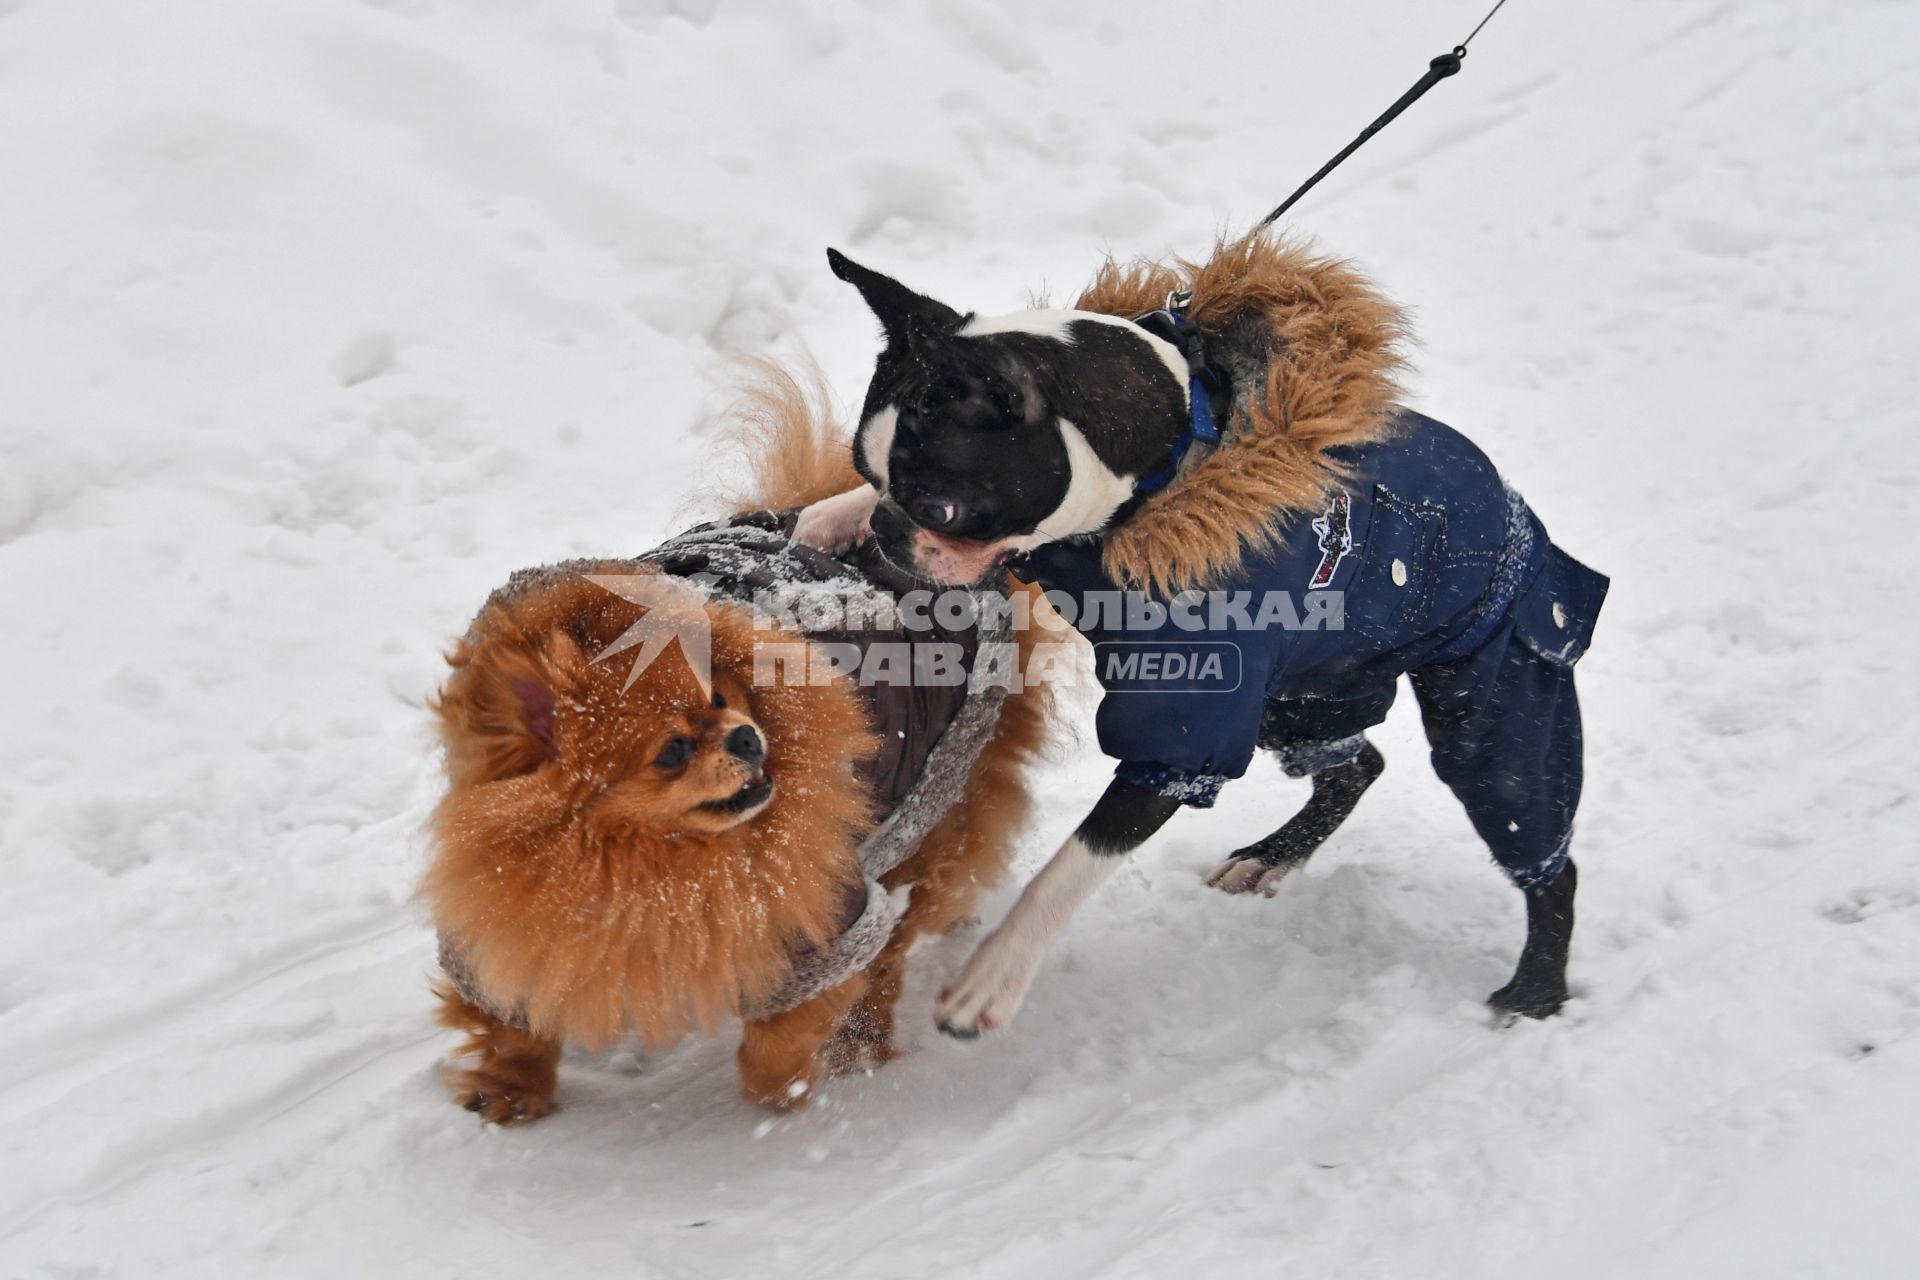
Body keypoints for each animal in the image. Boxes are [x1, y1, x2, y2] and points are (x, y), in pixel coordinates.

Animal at [420, 368, 1052, 1120]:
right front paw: (512, 1086)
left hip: (939, 802)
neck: (645, 863)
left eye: (722, 700)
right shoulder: (510, 921)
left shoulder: (823, 912)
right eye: (671, 751)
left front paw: (789, 1087)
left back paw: (862, 1040)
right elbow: (512, 1005)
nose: (749, 739)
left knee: (900, 934)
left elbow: (780, 1037)